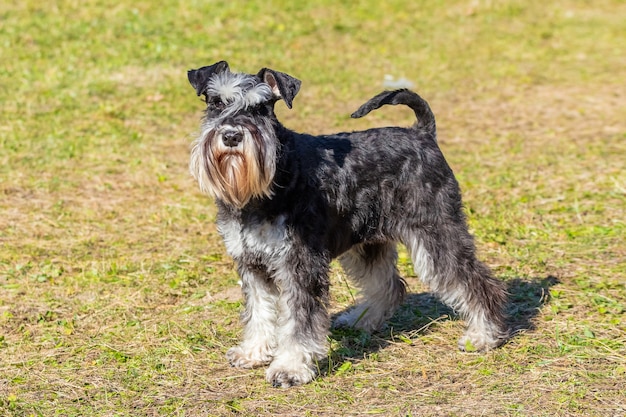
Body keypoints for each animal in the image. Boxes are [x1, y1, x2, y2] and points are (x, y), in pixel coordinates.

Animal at [185, 61, 508, 386]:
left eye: (261, 108)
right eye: (216, 103)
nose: (231, 136)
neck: (272, 179)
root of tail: (423, 134)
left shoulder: (300, 264)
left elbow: (298, 321)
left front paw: (289, 367)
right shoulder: (252, 264)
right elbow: (259, 311)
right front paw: (252, 352)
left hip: (436, 234)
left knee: (478, 282)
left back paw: (483, 335)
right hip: (368, 241)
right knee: (389, 285)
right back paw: (360, 319)